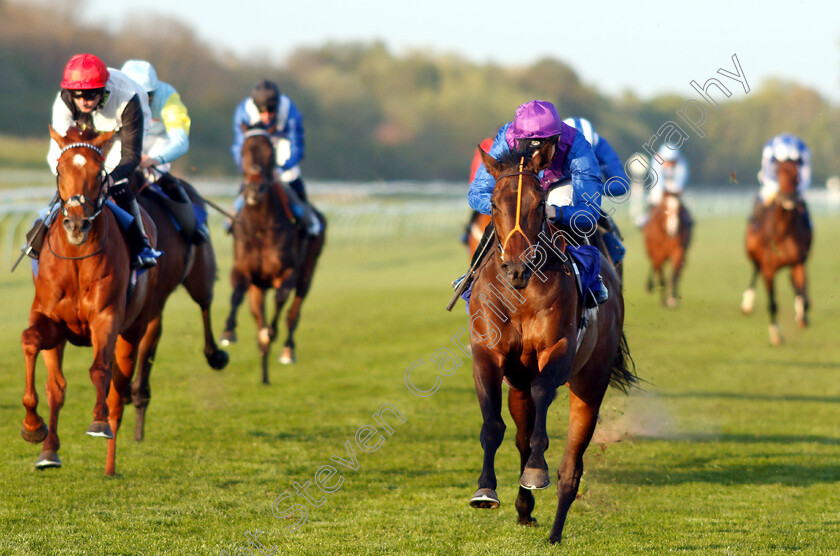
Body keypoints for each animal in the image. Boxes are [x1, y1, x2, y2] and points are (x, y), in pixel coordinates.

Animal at [220, 128, 324, 384]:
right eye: (244, 150)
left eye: (270, 152)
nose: (254, 191)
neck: (260, 226)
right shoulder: (244, 271)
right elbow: (237, 295)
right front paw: (228, 331)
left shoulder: (288, 272)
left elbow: (280, 300)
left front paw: (272, 333)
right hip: (258, 287)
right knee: (258, 314)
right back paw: (264, 369)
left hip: (307, 273)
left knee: (293, 312)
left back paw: (286, 350)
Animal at [466, 141, 636, 544]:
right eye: (493, 202)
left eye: (540, 203)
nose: (515, 267)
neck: (520, 293)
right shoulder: (488, 353)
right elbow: (493, 425)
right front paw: (485, 490)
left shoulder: (558, 349)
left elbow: (544, 395)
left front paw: (535, 470)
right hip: (518, 383)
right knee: (522, 432)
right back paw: (525, 508)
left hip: (591, 381)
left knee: (571, 465)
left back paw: (556, 530)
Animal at [744, 156, 812, 346]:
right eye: (777, 172)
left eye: (797, 174)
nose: (788, 197)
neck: (782, 233)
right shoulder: (769, 270)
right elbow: (773, 303)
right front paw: (776, 335)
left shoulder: (798, 262)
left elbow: (804, 298)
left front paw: (802, 317)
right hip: (752, 252)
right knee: (755, 268)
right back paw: (747, 303)